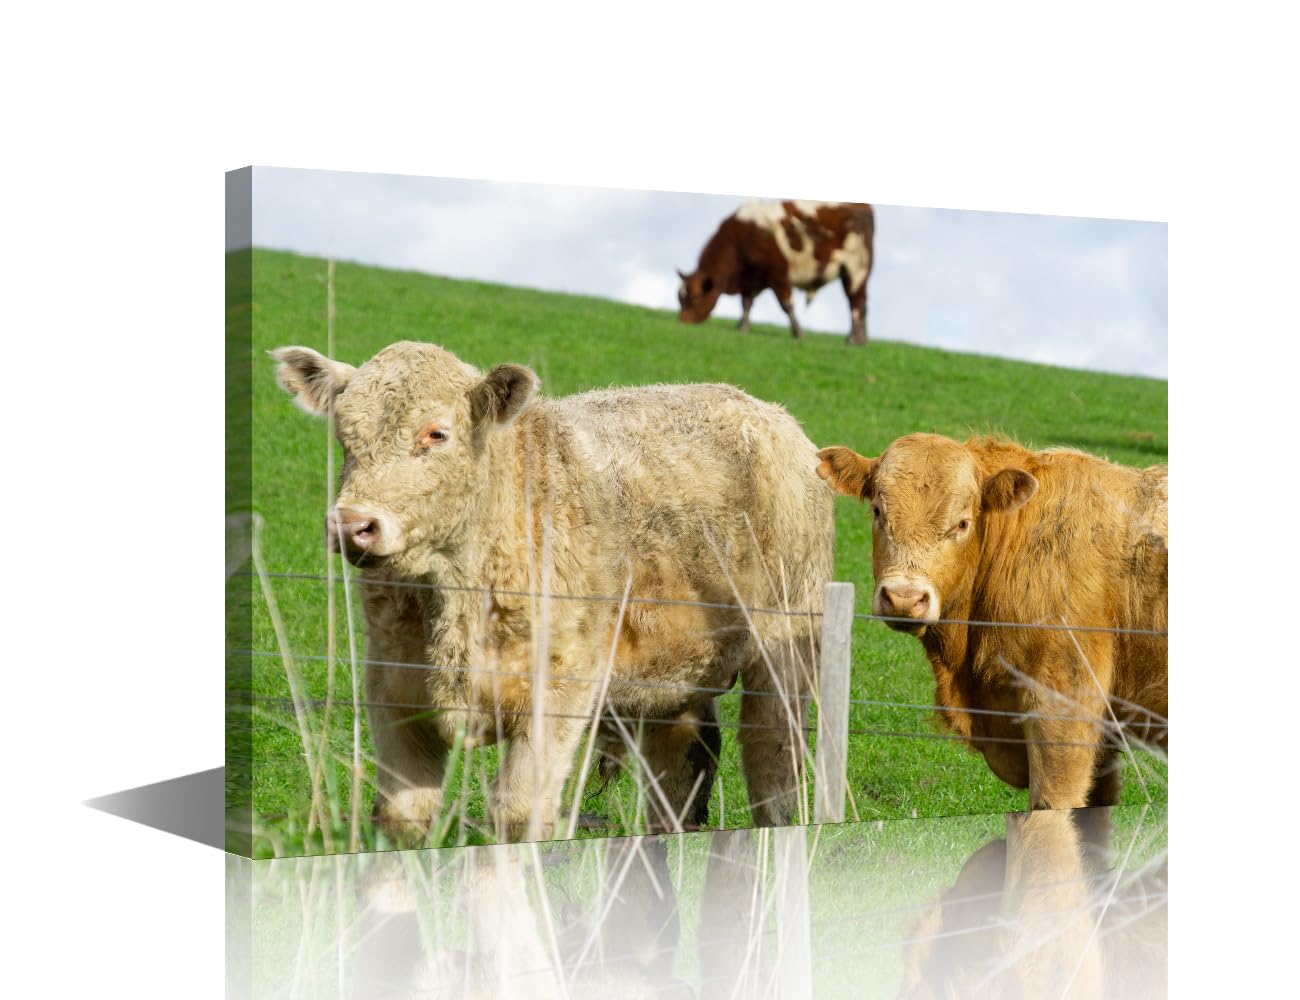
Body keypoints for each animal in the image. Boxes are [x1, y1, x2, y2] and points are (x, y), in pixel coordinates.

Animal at [271, 341, 834, 843]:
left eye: (437, 433)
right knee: (682, 771)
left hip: (785, 655)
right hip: (674, 677)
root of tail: (765, 412)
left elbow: (518, 814)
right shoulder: (394, 694)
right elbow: (399, 818)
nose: (352, 525)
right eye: (345, 435)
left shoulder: (558, 695)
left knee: (772, 771)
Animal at [677, 200, 875, 345]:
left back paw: (853, 339)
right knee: (862, 304)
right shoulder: (751, 278)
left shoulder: (778, 275)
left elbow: (786, 305)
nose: (682, 321)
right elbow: (747, 303)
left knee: (856, 302)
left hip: (856, 270)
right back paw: (862, 340)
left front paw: (798, 333)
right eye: (680, 298)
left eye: (695, 298)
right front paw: (743, 326)